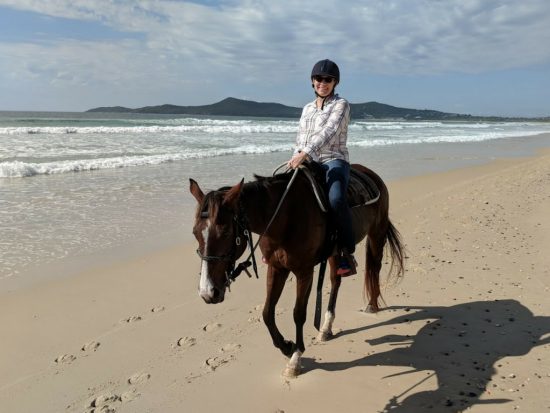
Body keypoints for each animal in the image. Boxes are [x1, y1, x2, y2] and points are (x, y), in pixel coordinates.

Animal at [190, 164, 406, 376]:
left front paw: (295, 358)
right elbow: (267, 313)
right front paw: (286, 346)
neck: (284, 218)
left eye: (226, 230)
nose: (208, 292)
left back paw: (371, 305)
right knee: (335, 281)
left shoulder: (304, 272)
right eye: (194, 232)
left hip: (377, 233)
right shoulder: (276, 268)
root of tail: (370, 173)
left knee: (374, 268)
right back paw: (326, 328)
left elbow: (298, 313)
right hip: (335, 252)